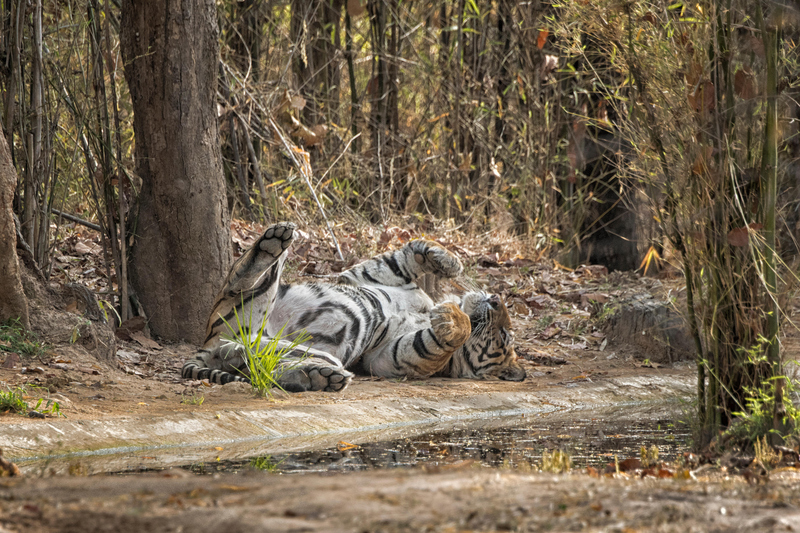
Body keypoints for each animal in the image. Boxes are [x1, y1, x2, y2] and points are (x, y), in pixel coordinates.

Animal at [184, 220, 528, 390]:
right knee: (242, 275)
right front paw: (448, 261)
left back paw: (317, 377)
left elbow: (436, 340)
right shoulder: (367, 276)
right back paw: (275, 239)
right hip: (258, 300)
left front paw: (452, 318)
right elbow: (406, 253)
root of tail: (211, 343)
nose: (497, 299)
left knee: (257, 360)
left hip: (289, 343)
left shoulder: (390, 357)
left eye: (503, 336)